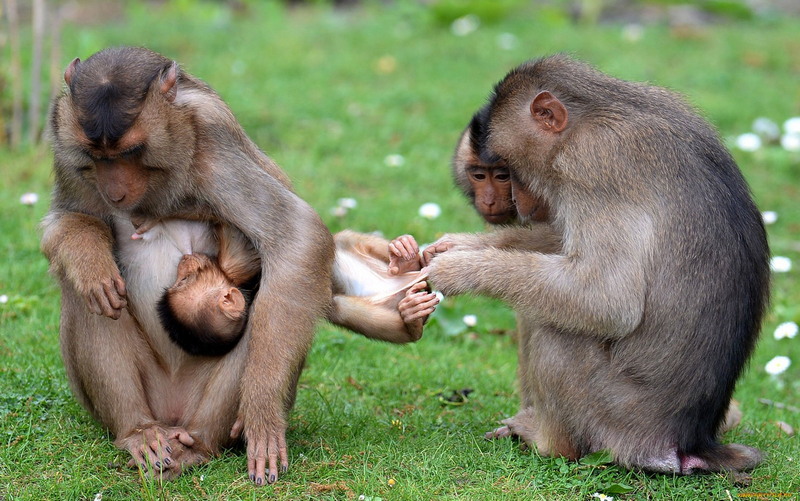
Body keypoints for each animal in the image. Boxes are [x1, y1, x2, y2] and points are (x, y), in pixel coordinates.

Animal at [41, 47, 334, 484]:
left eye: (130, 153)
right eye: (97, 156)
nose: (115, 192)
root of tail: (174, 414)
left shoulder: (213, 142)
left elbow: (298, 237)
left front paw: (262, 414)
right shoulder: (64, 142)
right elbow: (66, 219)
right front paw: (89, 260)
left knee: (259, 312)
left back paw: (201, 445)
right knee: (88, 298)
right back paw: (138, 431)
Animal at [424, 53, 768, 472]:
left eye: (508, 171)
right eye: (492, 172)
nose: (514, 202)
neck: (592, 114)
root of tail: (689, 442)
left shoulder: (591, 164)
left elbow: (606, 299)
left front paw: (459, 269)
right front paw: (462, 245)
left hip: (615, 416)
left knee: (554, 327)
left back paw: (549, 441)